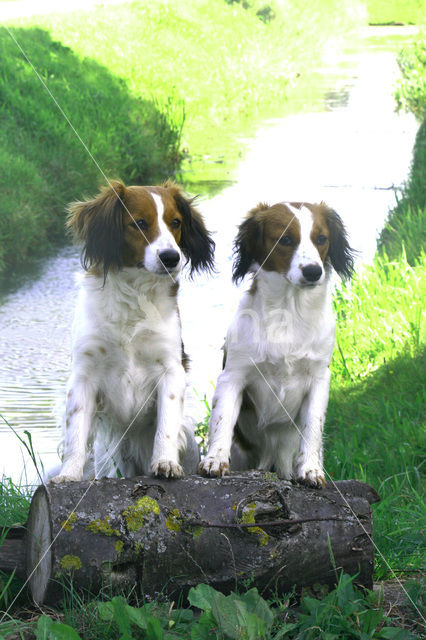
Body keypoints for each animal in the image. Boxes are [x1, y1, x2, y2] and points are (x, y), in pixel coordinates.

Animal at [50, 178, 215, 482]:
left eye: (176, 222)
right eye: (139, 223)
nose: (171, 257)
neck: (135, 296)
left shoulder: (170, 369)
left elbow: (165, 427)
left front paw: (165, 463)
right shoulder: (84, 374)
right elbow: (75, 432)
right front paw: (69, 475)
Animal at [200, 200, 352, 484]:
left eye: (321, 238)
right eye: (286, 240)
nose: (314, 271)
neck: (288, 312)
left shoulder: (319, 379)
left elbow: (313, 427)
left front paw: (310, 469)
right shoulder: (233, 376)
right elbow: (221, 420)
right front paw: (214, 460)